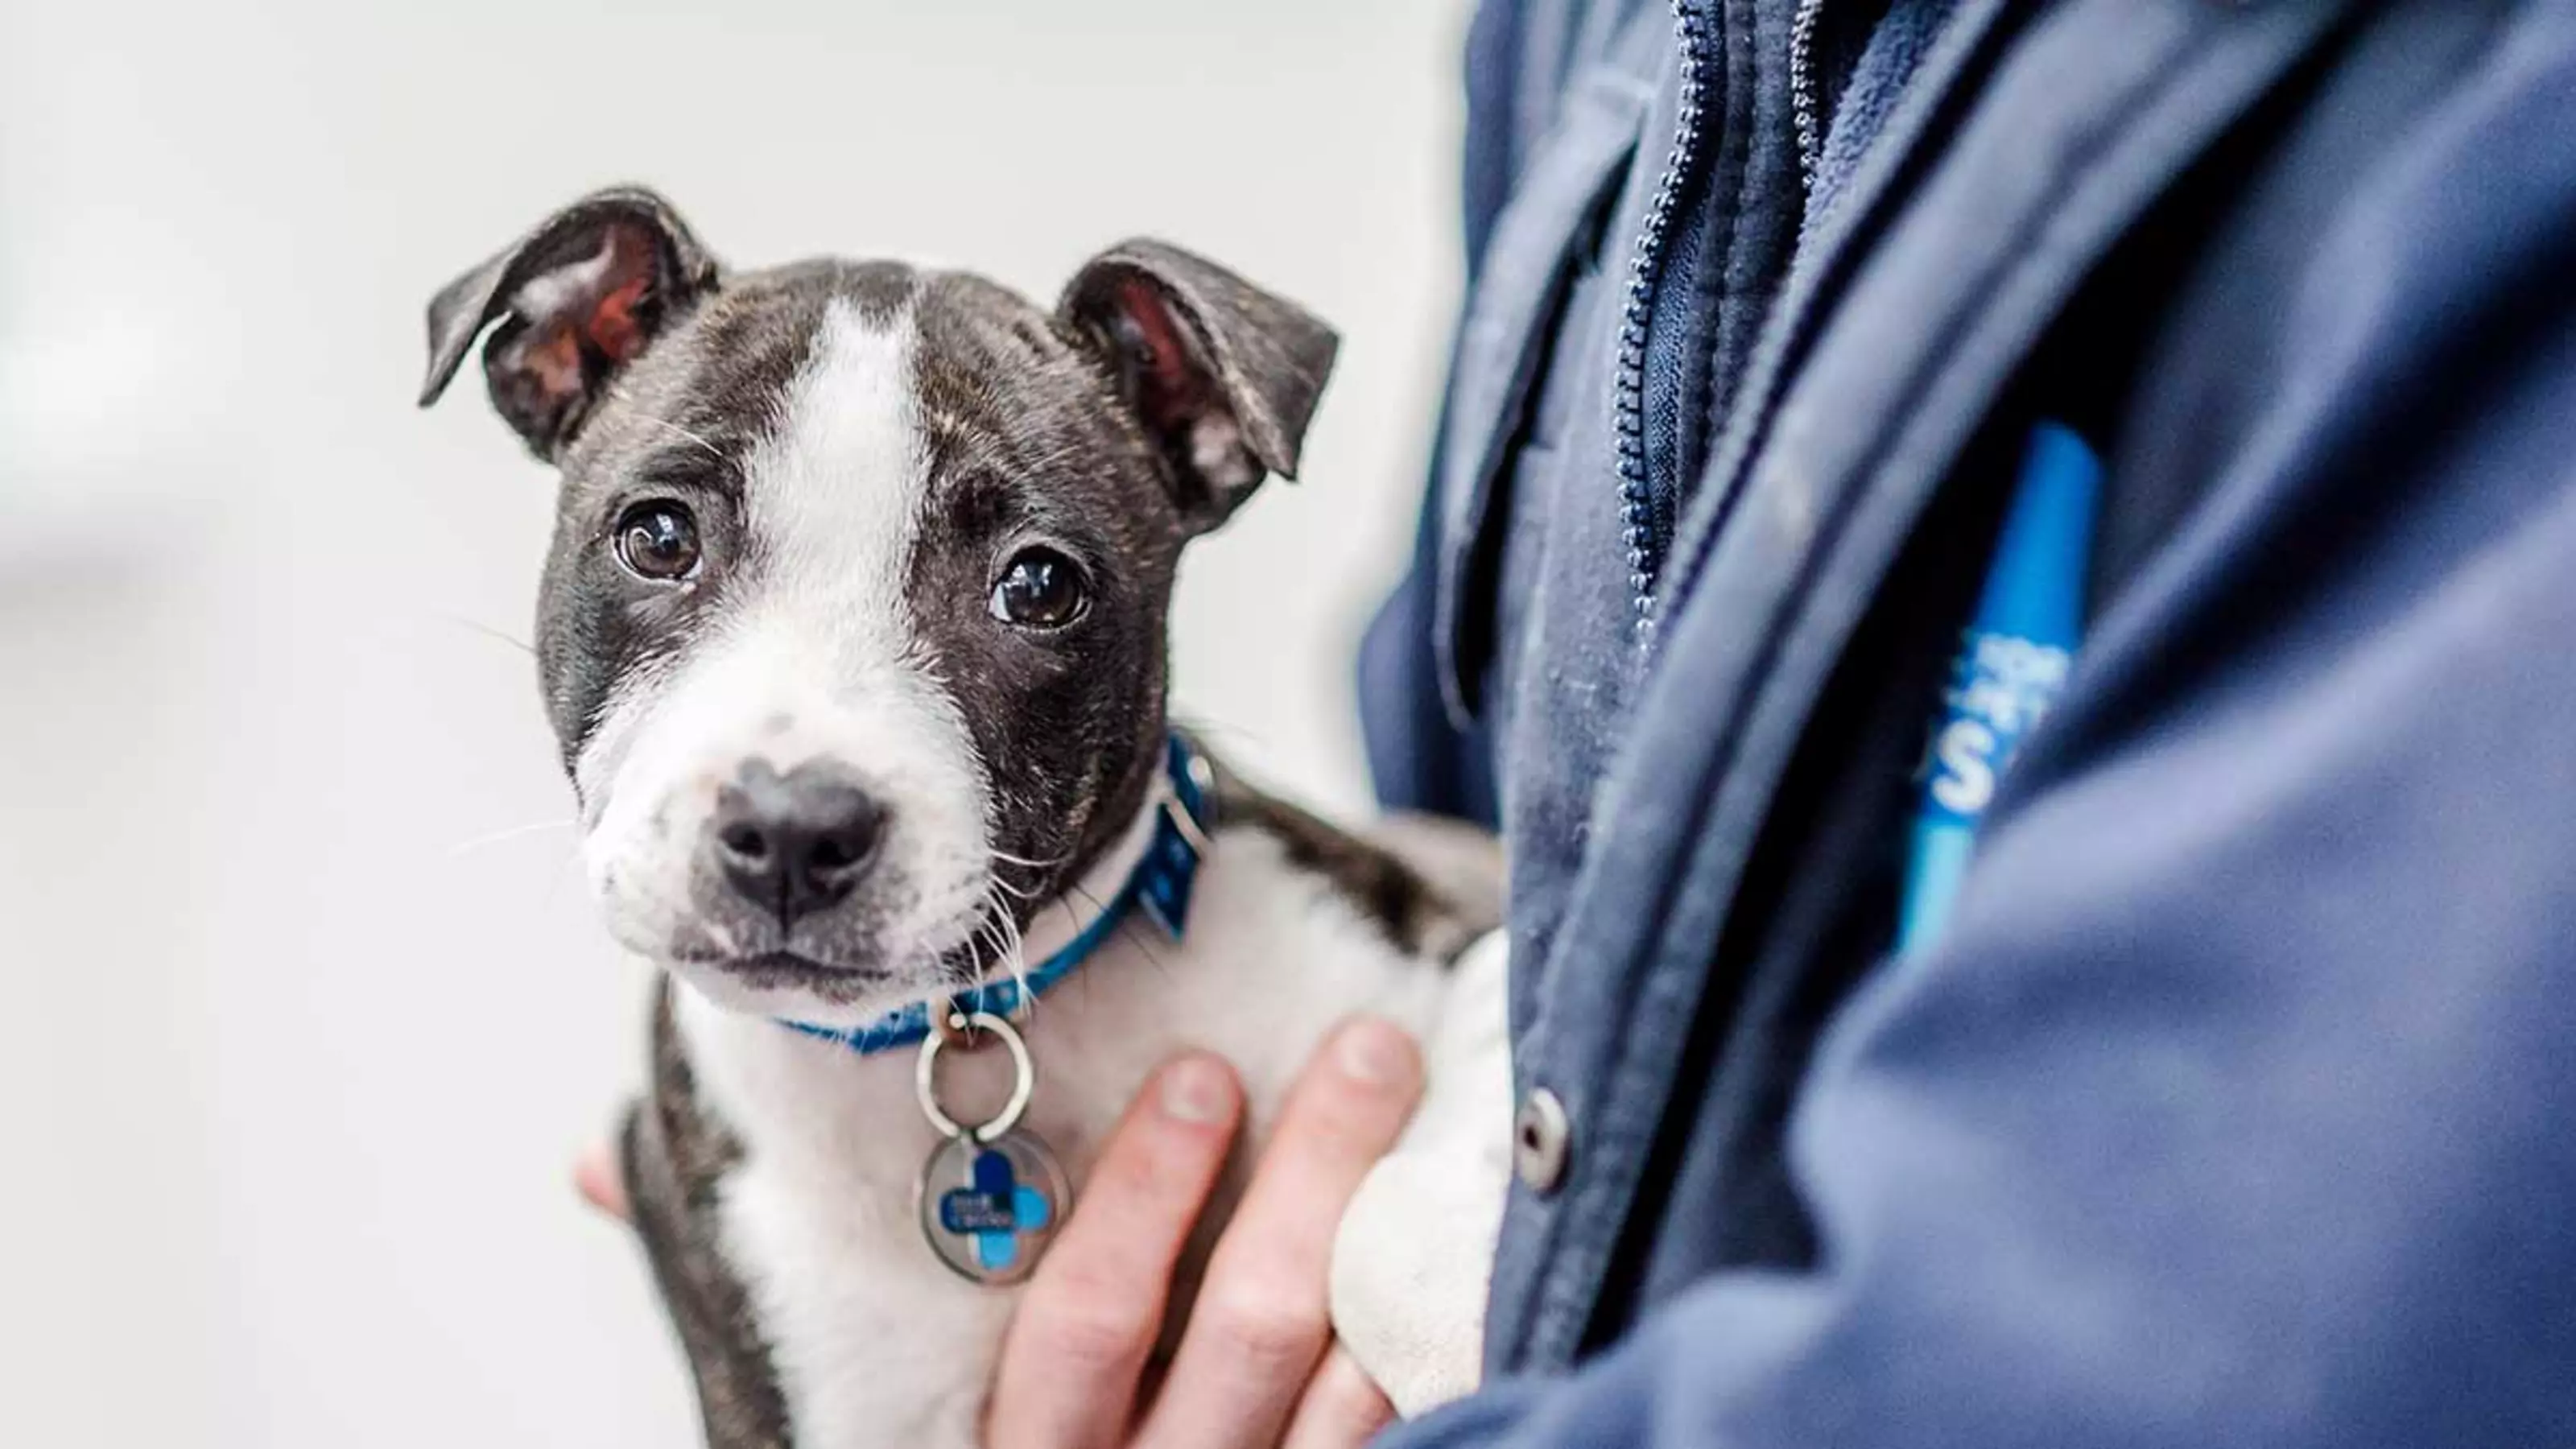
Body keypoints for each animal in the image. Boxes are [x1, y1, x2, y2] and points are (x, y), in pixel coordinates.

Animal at [422, 192, 1504, 1443]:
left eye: (1038, 588)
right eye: (657, 538)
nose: (794, 829)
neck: (965, 1038)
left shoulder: (1465, 923)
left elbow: (1425, 1175)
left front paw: (1461, 1330)